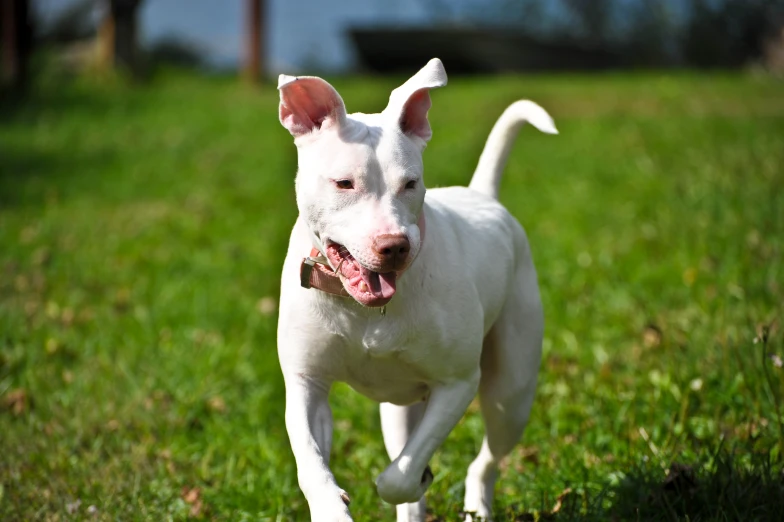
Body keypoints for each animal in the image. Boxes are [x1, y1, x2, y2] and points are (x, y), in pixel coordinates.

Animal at [278, 58, 556, 520]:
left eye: (410, 183)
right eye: (344, 183)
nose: (394, 246)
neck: (364, 310)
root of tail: (482, 194)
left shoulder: (457, 383)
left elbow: (402, 475)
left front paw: (406, 480)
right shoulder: (306, 382)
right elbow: (309, 460)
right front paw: (330, 506)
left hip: (510, 394)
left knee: (486, 459)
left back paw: (476, 504)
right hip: (400, 410)